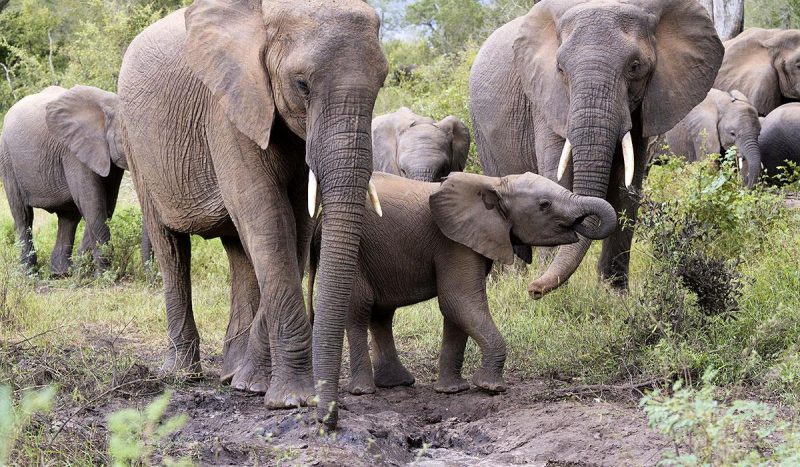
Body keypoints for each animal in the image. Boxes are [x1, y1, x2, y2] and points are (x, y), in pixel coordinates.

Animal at [0, 85, 128, 276]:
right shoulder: (73, 152)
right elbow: (93, 203)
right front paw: (104, 275)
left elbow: (107, 204)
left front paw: (83, 269)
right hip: (8, 159)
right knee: (23, 214)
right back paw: (30, 274)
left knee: (68, 218)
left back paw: (61, 273)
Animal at [117, 0, 387, 427]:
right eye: (302, 84)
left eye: (382, 83)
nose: (327, 418)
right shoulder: (227, 108)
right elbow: (268, 218)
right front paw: (292, 400)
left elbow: (296, 227)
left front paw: (253, 385)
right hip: (136, 144)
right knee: (170, 245)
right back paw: (182, 374)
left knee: (238, 251)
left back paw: (231, 374)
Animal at [308, 172, 616, 396]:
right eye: (544, 205)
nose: (534, 291)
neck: (494, 184)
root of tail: (320, 219)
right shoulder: (454, 243)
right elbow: (459, 302)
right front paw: (490, 387)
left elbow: (457, 311)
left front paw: (452, 391)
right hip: (356, 254)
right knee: (359, 311)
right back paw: (364, 391)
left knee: (382, 314)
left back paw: (398, 383)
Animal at [469, 0, 723, 297]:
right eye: (560, 69)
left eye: (635, 66)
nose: (534, 291)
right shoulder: (547, 101)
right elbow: (558, 179)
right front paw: (557, 293)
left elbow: (627, 185)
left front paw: (616, 294)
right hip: (482, 131)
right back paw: (511, 279)